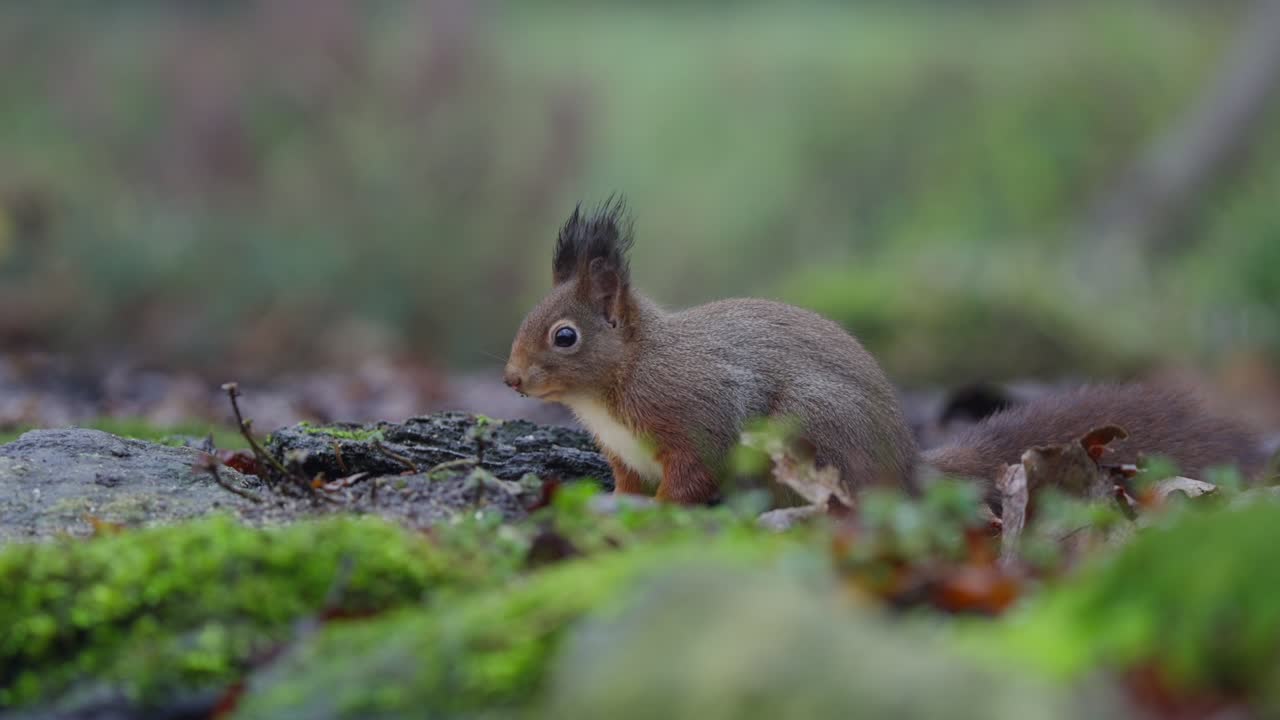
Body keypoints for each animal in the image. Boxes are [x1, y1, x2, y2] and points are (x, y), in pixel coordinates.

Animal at [504, 199, 1267, 505]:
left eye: (565, 336)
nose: (511, 379)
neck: (622, 377)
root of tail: (906, 465)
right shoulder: (624, 454)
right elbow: (629, 486)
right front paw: (617, 507)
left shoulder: (696, 414)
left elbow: (690, 475)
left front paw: (665, 513)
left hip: (811, 431)